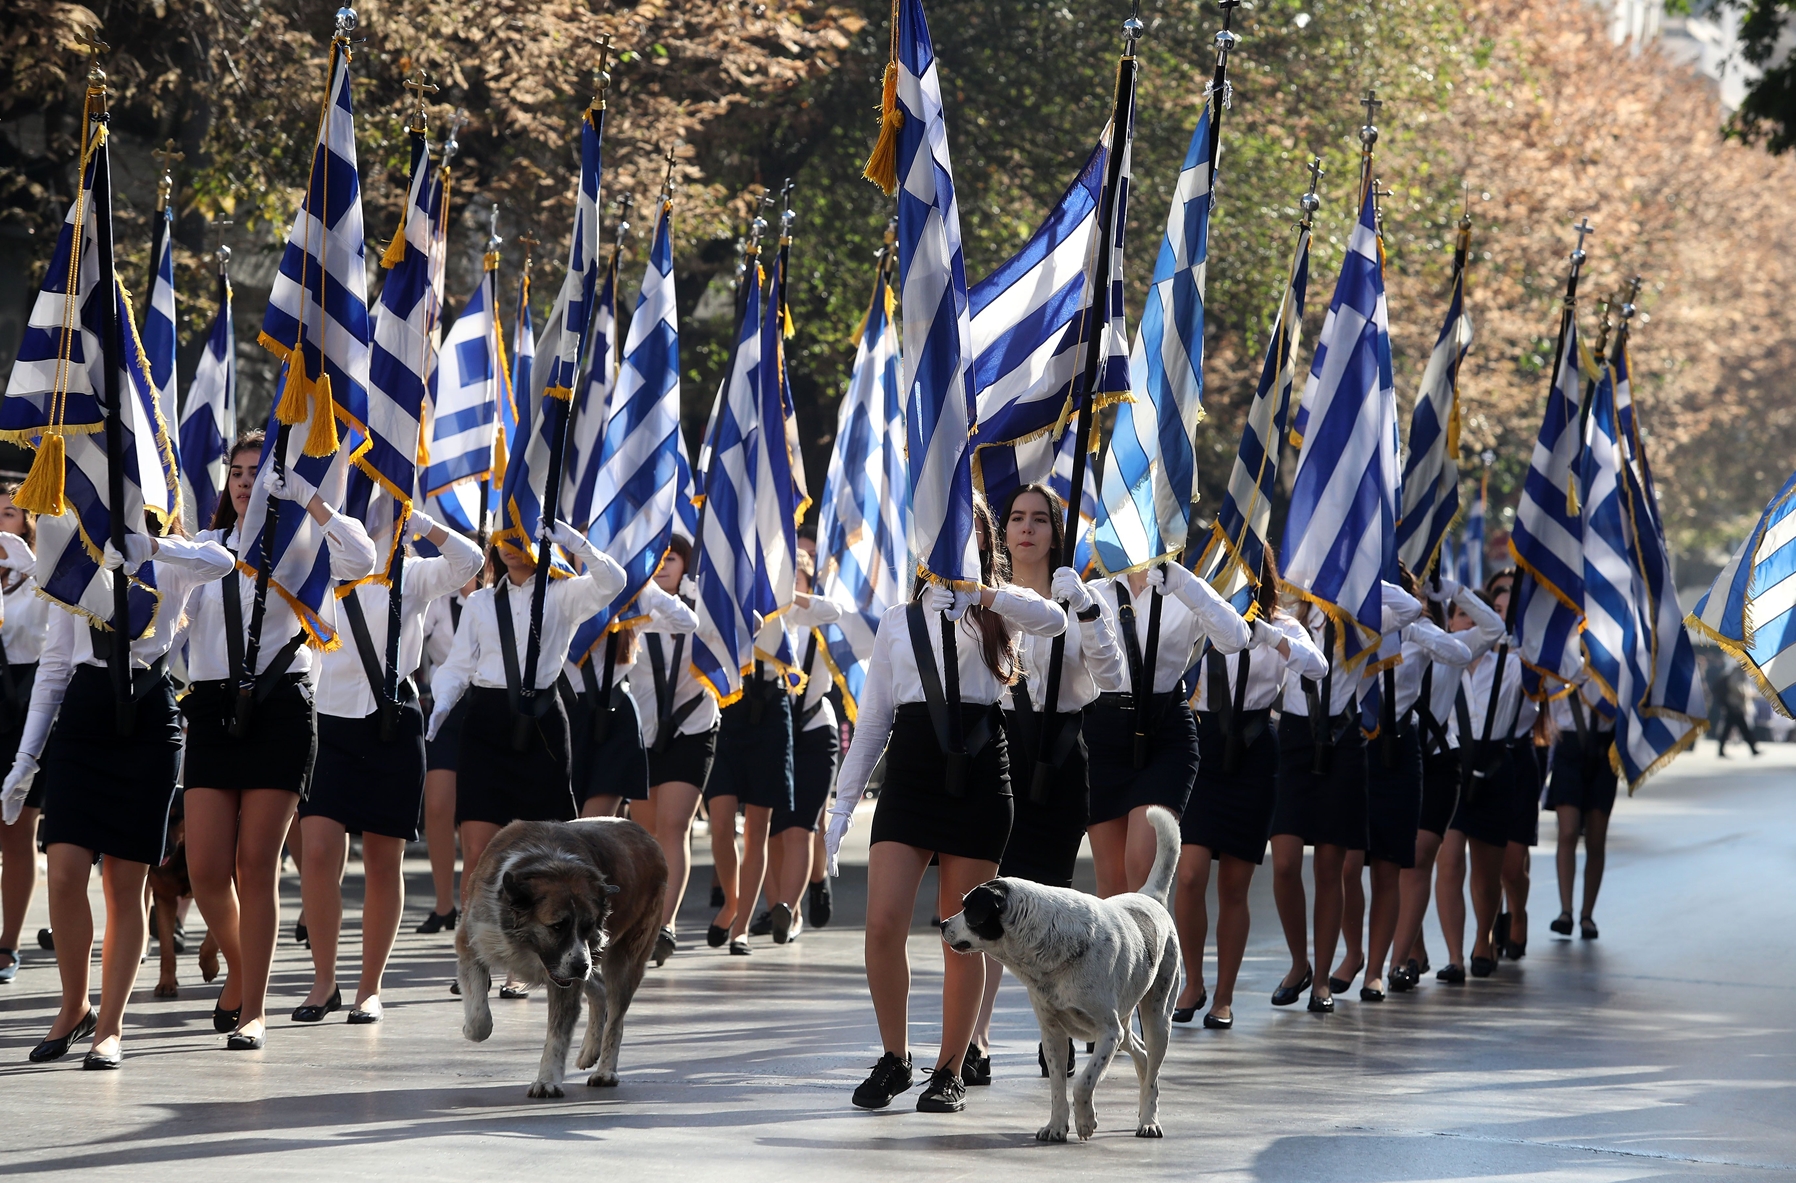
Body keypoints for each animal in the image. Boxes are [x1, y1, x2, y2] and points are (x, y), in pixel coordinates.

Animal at [941, 804, 1178, 1141]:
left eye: (969, 909)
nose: (943, 924)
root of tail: (1149, 897)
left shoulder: (1107, 1032)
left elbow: (1083, 1083)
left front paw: (1086, 1121)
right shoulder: (1053, 1033)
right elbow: (1056, 1087)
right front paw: (1055, 1126)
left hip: (1157, 1018)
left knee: (1154, 1071)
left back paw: (1149, 1120)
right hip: (1125, 1022)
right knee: (1143, 1056)